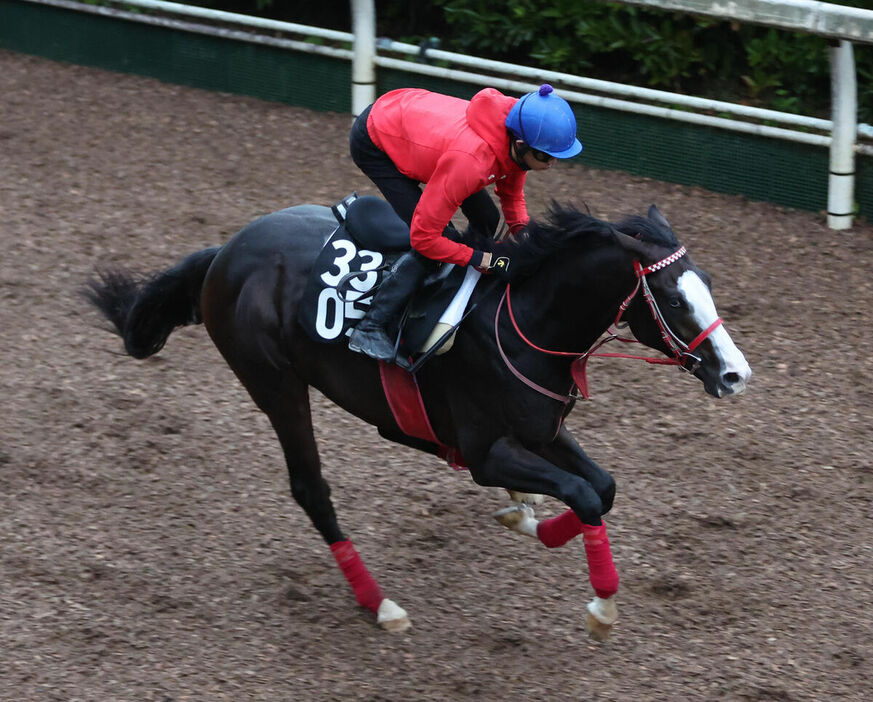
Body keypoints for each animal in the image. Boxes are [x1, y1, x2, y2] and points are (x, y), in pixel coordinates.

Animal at [83, 199, 748, 644]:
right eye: (675, 298)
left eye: (710, 285)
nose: (735, 374)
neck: (525, 322)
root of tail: (224, 253)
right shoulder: (485, 453)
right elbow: (584, 495)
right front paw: (601, 608)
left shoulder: (540, 430)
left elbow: (601, 488)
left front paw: (528, 519)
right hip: (276, 385)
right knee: (311, 489)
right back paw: (379, 604)